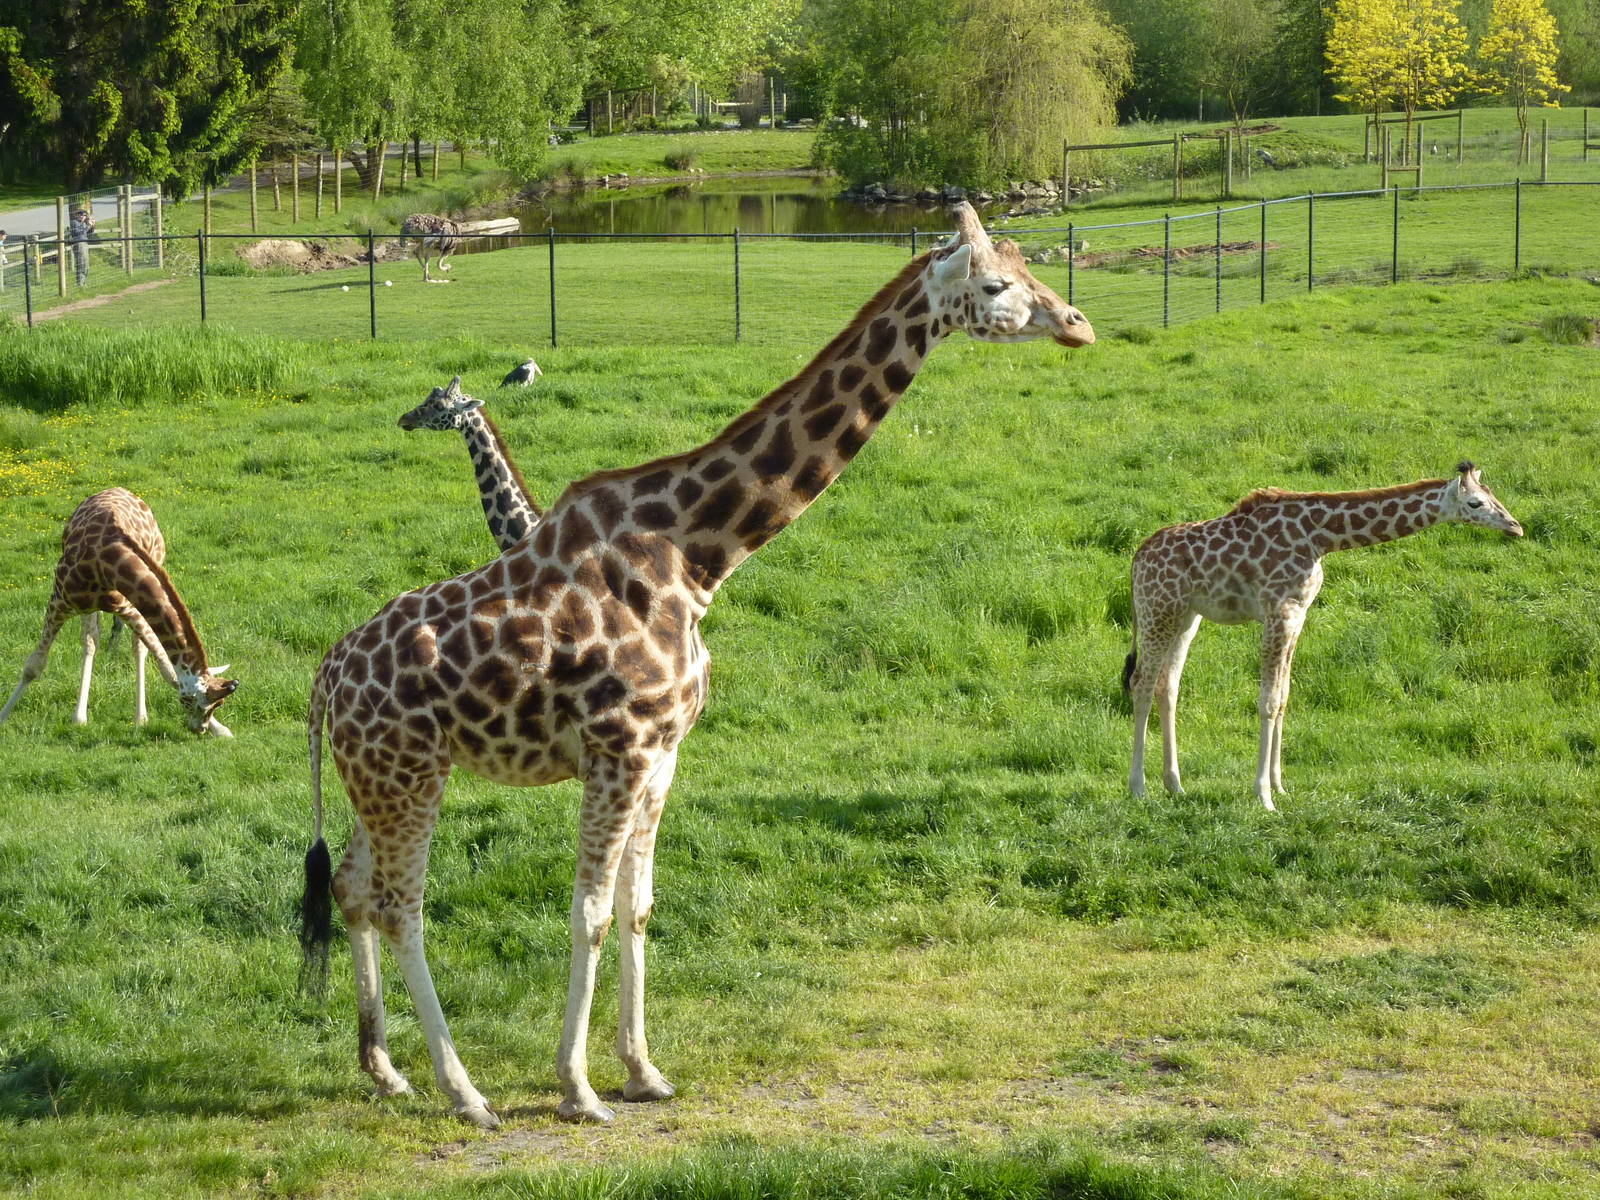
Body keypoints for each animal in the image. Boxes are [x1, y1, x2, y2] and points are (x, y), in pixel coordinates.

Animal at [0, 488, 239, 735]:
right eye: (193, 702)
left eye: (218, 704)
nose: (199, 728)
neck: (104, 564)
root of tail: (120, 490)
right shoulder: (59, 602)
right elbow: (33, 666)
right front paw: (2, 717)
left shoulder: (127, 608)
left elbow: (167, 669)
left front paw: (222, 730)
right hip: (86, 606)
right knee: (91, 639)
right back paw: (80, 717)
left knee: (133, 646)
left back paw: (139, 717)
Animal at [1125, 462, 1522, 810]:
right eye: (1476, 503)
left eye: (1493, 495)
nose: (1516, 527)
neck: (1321, 536)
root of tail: (1136, 560)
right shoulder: (1279, 612)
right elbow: (1268, 701)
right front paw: (1263, 797)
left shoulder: (1299, 613)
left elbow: (1284, 696)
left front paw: (1280, 786)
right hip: (1157, 610)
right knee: (1141, 683)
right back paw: (1138, 788)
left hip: (1185, 617)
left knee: (1167, 685)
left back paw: (1175, 785)